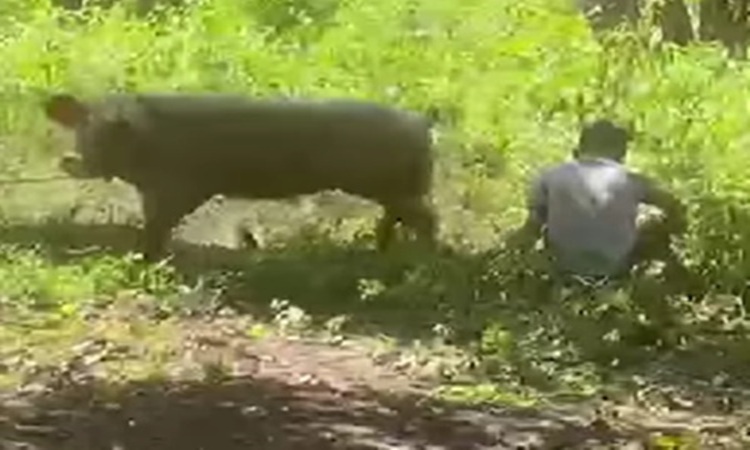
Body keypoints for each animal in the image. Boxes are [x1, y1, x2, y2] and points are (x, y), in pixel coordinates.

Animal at [43, 92, 438, 262]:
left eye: (109, 133)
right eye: (84, 130)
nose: (72, 160)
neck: (146, 145)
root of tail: (421, 124)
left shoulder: (178, 186)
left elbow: (158, 224)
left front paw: (145, 258)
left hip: (390, 184)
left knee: (427, 218)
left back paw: (426, 258)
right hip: (395, 187)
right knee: (398, 216)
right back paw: (380, 250)